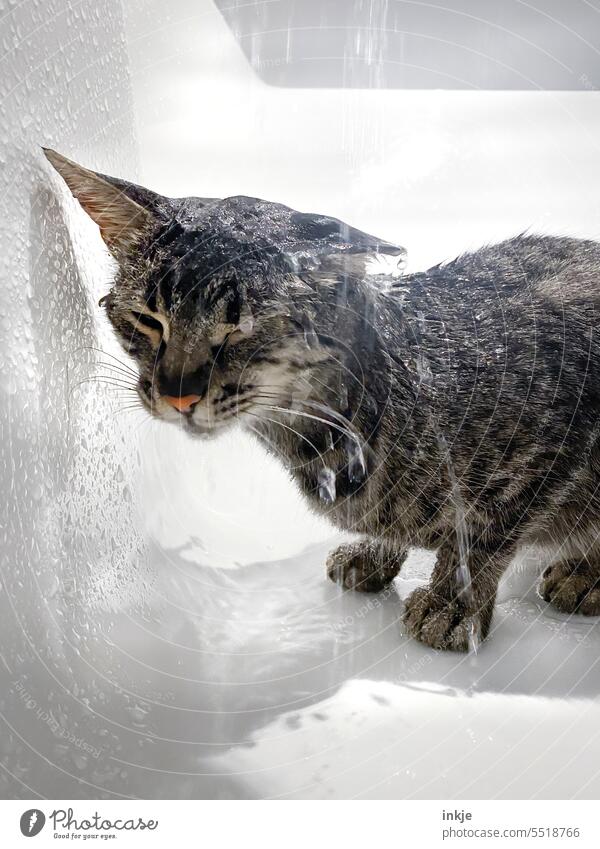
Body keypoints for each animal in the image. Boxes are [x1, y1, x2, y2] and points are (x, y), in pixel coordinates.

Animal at [44, 147, 600, 648]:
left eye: (241, 329)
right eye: (147, 320)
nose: (177, 395)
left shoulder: (543, 452)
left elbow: (479, 536)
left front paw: (453, 604)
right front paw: (374, 553)